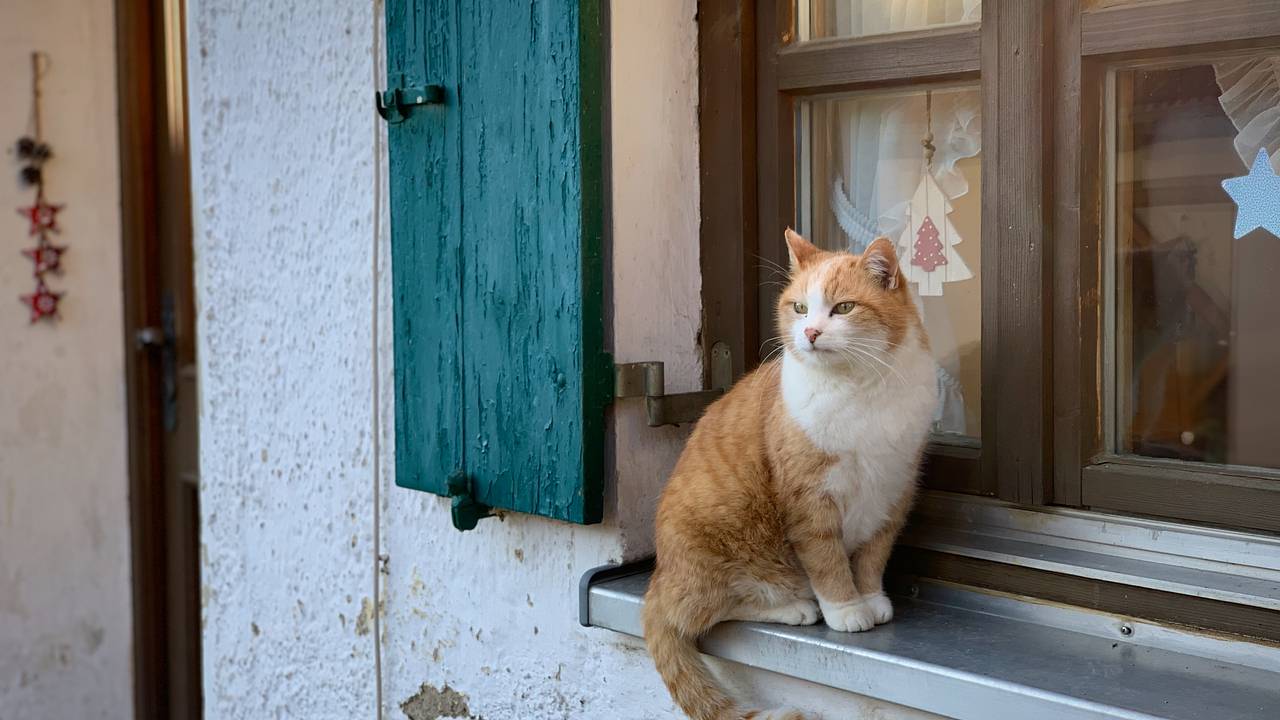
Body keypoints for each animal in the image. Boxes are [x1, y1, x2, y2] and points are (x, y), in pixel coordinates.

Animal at [645, 226, 936, 712]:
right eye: (799, 308)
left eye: (843, 307)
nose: (811, 332)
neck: (859, 389)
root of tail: (659, 576)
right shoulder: (809, 499)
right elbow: (827, 561)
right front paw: (846, 609)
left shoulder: (893, 490)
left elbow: (873, 555)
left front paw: (870, 597)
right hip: (719, 545)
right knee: (695, 613)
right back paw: (791, 607)